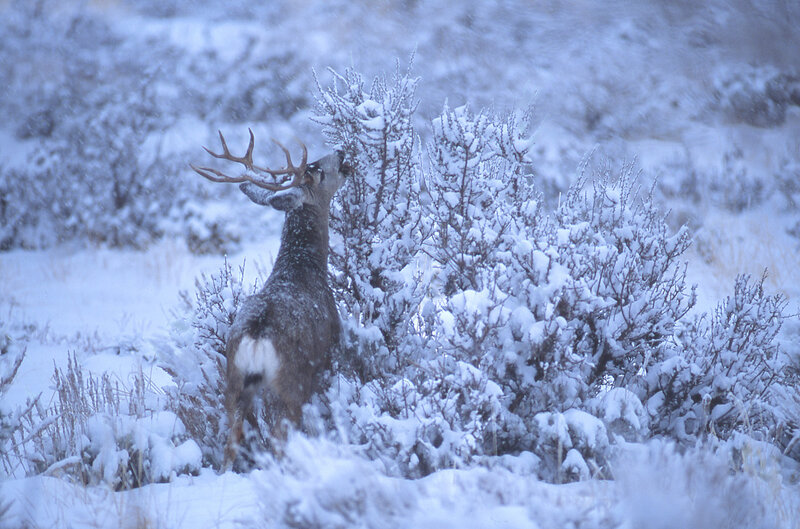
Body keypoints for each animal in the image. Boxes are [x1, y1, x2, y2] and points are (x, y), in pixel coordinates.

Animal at [191, 129, 349, 469]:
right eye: (317, 170)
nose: (343, 152)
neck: (301, 267)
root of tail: (256, 334)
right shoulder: (329, 354)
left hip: (234, 383)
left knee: (231, 444)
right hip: (290, 384)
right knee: (279, 442)